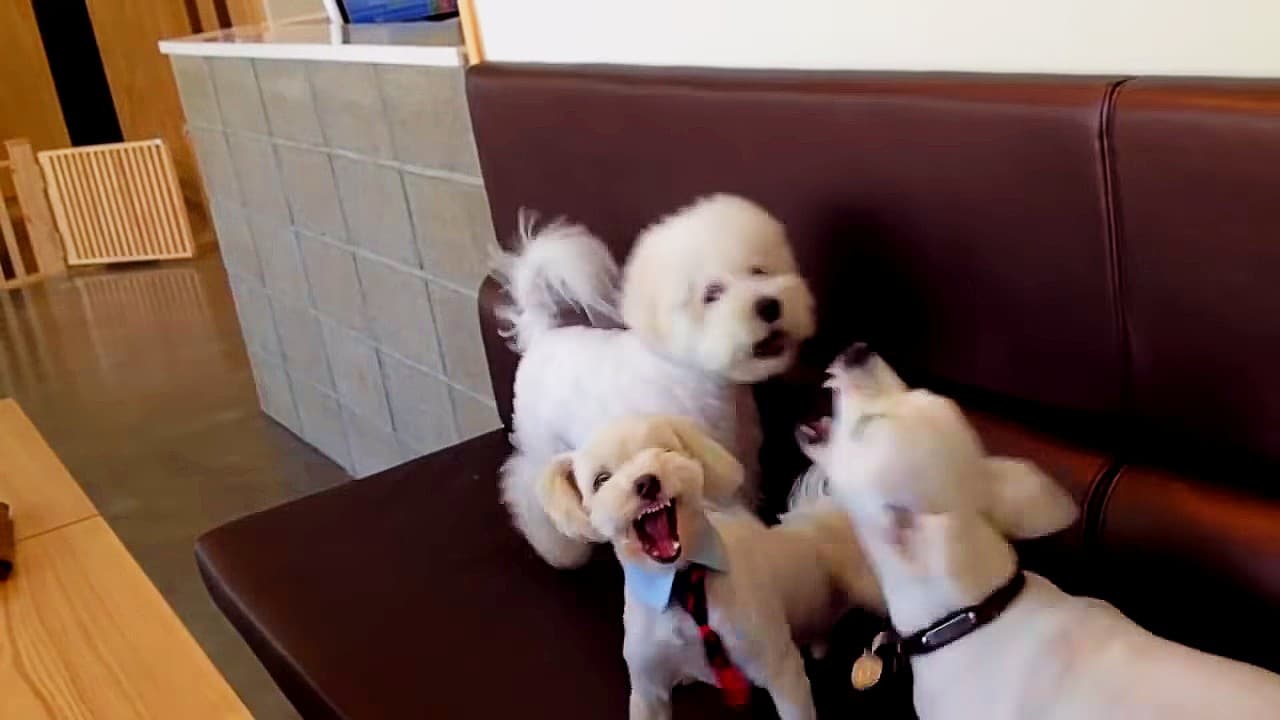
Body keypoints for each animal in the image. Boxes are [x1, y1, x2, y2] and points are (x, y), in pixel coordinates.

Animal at [494, 194, 814, 566]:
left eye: (759, 271)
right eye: (712, 294)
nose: (769, 305)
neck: (694, 377)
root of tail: (541, 335)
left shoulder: (734, 460)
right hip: (541, 444)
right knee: (525, 487)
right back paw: (560, 550)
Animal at [537, 415, 880, 717]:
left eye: (665, 450)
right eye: (601, 480)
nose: (646, 482)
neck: (682, 582)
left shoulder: (780, 670)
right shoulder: (649, 689)